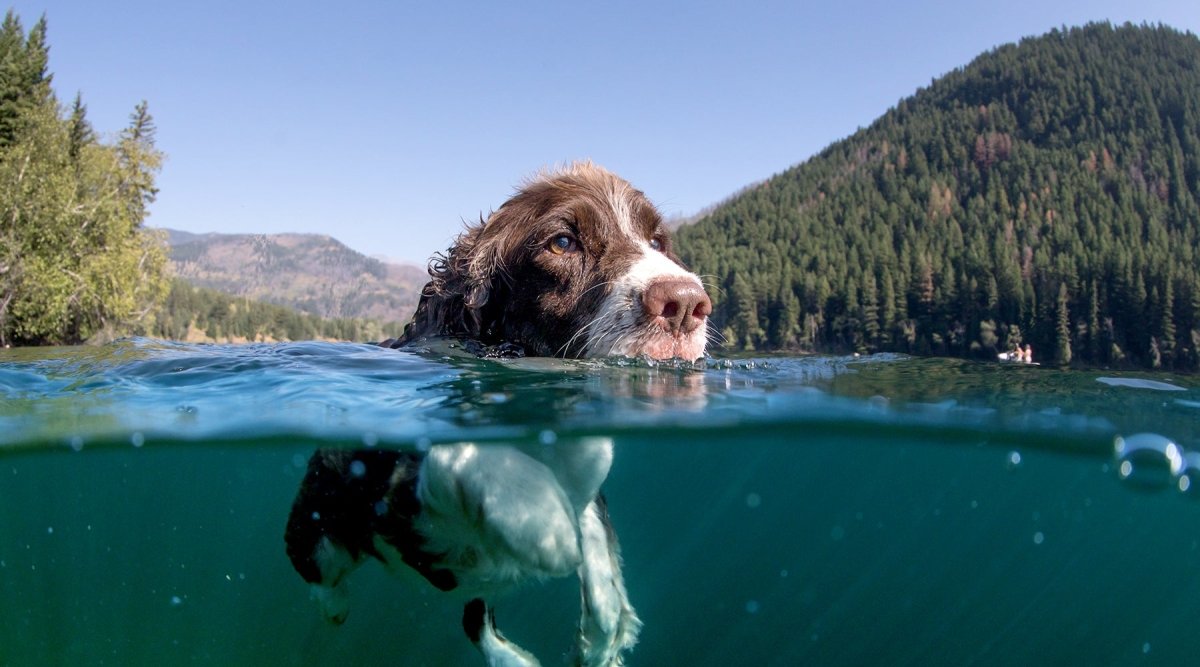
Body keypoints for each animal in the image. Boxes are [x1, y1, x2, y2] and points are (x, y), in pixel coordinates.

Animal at [284, 163, 705, 667]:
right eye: (562, 242)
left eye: (658, 241)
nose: (686, 303)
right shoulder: (395, 475)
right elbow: (464, 455)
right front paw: (546, 526)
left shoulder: (589, 484)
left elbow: (599, 555)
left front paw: (603, 642)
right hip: (318, 519)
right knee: (317, 566)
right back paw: (335, 607)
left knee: (473, 614)